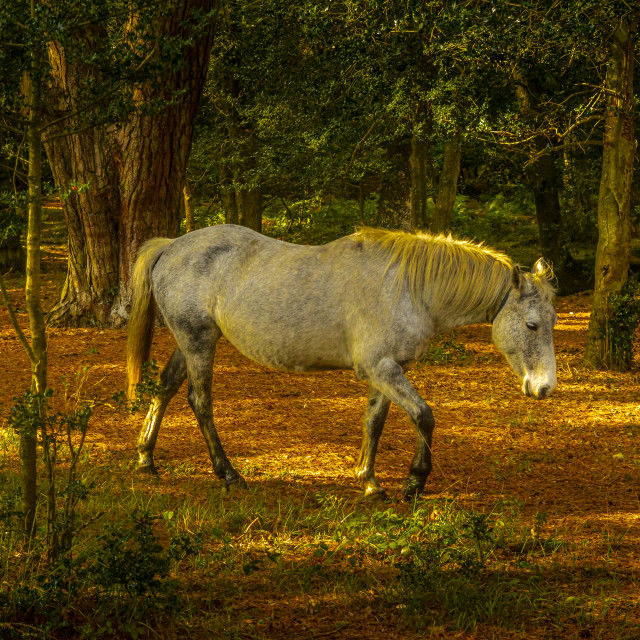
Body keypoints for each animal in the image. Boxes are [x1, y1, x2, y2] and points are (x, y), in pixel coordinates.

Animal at [125, 225, 556, 500]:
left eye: (553, 321)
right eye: (531, 325)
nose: (545, 387)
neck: (408, 288)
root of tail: (171, 245)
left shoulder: (387, 371)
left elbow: (374, 422)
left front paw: (369, 480)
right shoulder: (382, 369)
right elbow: (424, 416)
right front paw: (413, 482)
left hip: (191, 341)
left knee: (165, 387)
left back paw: (146, 458)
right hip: (197, 341)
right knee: (200, 402)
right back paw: (228, 475)